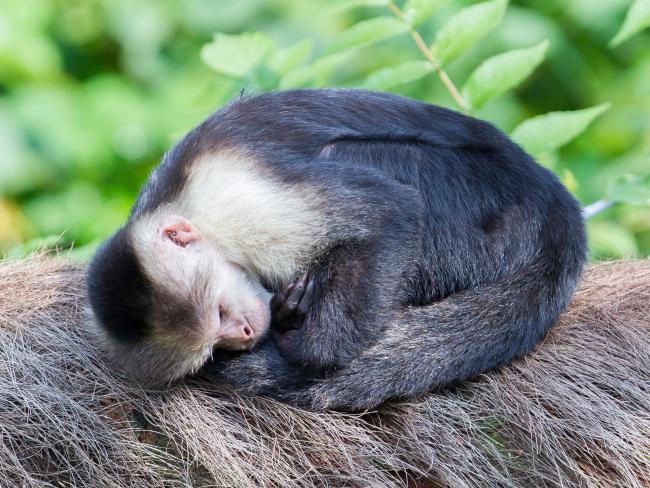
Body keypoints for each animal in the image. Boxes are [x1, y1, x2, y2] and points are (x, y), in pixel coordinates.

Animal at [83, 88, 584, 412]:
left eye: (221, 311)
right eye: (212, 346)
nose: (244, 334)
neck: (181, 204)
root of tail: (551, 200)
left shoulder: (238, 201)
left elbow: (388, 212)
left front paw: (304, 343)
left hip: (475, 202)